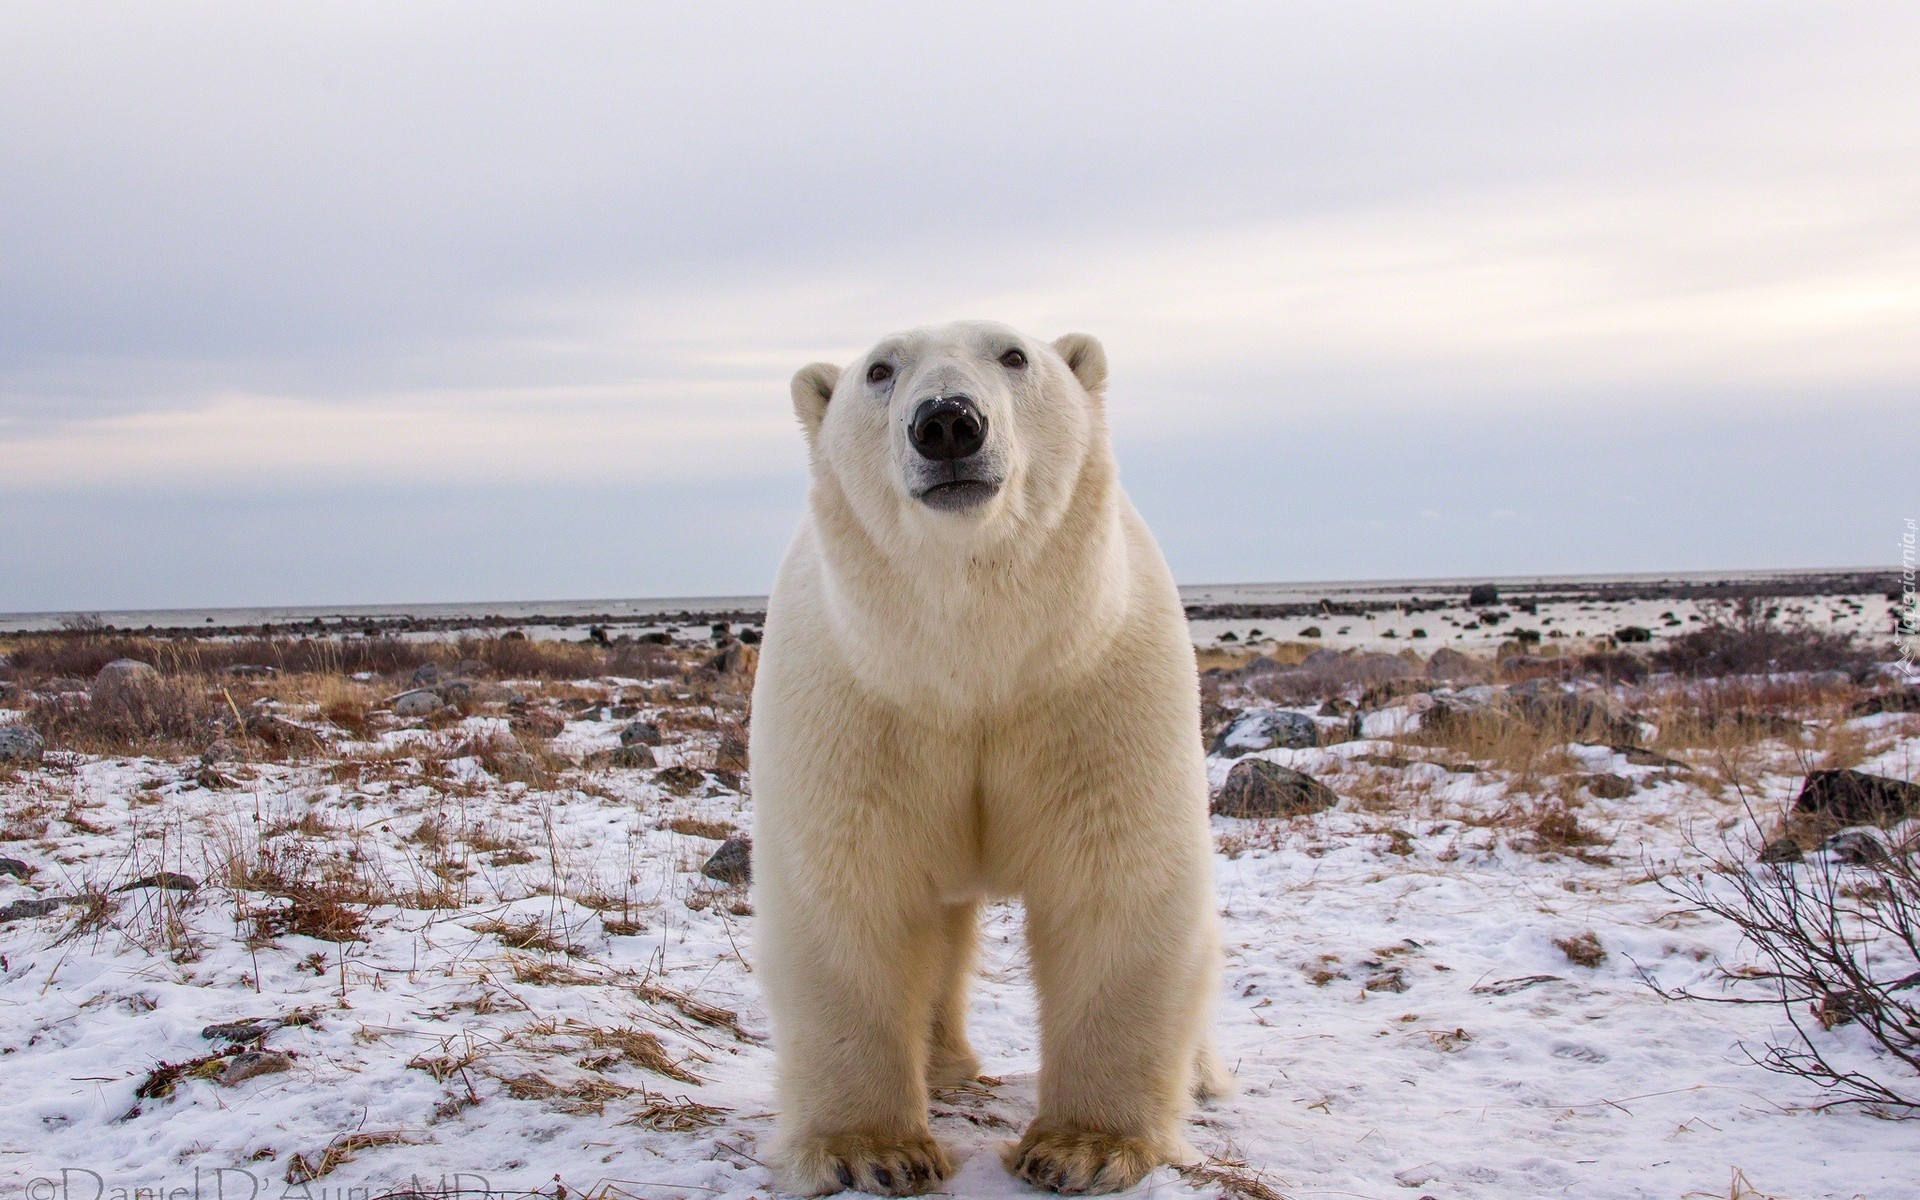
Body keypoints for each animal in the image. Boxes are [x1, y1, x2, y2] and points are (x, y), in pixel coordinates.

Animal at [744, 320, 1213, 1198]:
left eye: (1014, 355)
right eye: (879, 371)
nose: (948, 423)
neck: (972, 664)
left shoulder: (1092, 690)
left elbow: (1114, 882)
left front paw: (1084, 1148)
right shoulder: (859, 704)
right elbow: (854, 889)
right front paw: (873, 1149)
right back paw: (943, 1065)